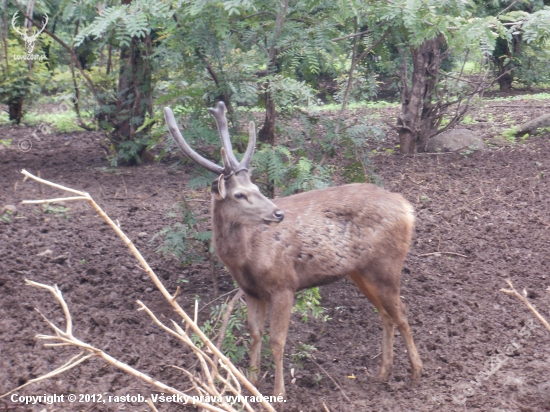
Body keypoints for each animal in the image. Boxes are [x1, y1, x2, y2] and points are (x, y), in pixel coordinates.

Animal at [163, 103, 422, 400]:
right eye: (239, 194)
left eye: (257, 188)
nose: (278, 213)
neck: (243, 261)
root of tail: (407, 208)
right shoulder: (251, 291)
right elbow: (255, 334)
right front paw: (252, 384)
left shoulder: (283, 284)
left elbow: (277, 341)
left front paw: (279, 392)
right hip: (361, 271)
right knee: (386, 314)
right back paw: (382, 373)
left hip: (386, 264)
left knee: (402, 313)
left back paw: (415, 374)